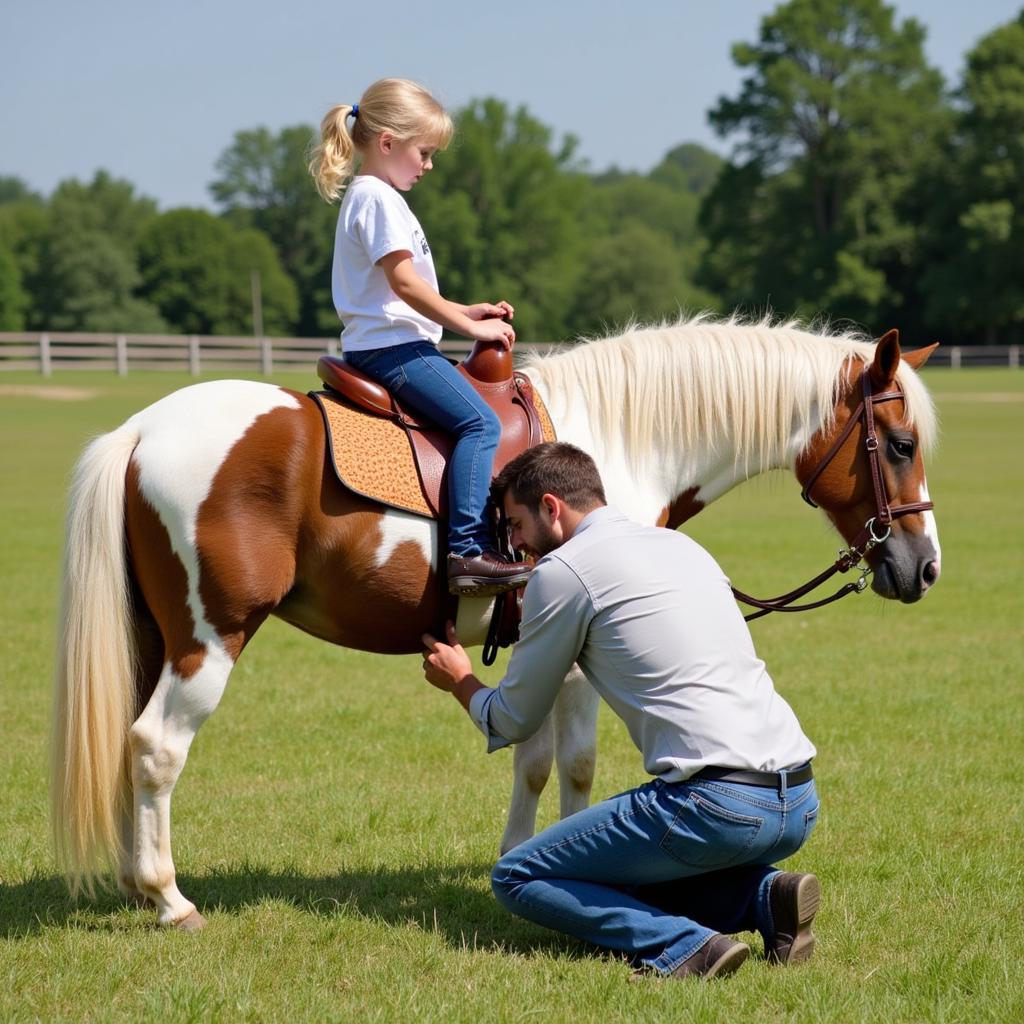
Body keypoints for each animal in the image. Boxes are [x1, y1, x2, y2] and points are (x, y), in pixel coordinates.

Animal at [54, 317, 937, 929]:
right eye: (899, 444)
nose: (923, 567)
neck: (617, 443)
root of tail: (142, 429)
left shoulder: (536, 646)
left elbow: (532, 761)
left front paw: (518, 854)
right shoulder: (579, 658)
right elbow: (574, 764)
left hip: (157, 639)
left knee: (130, 743)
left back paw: (137, 887)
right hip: (211, 639)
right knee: (156, 747)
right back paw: (169, 898)